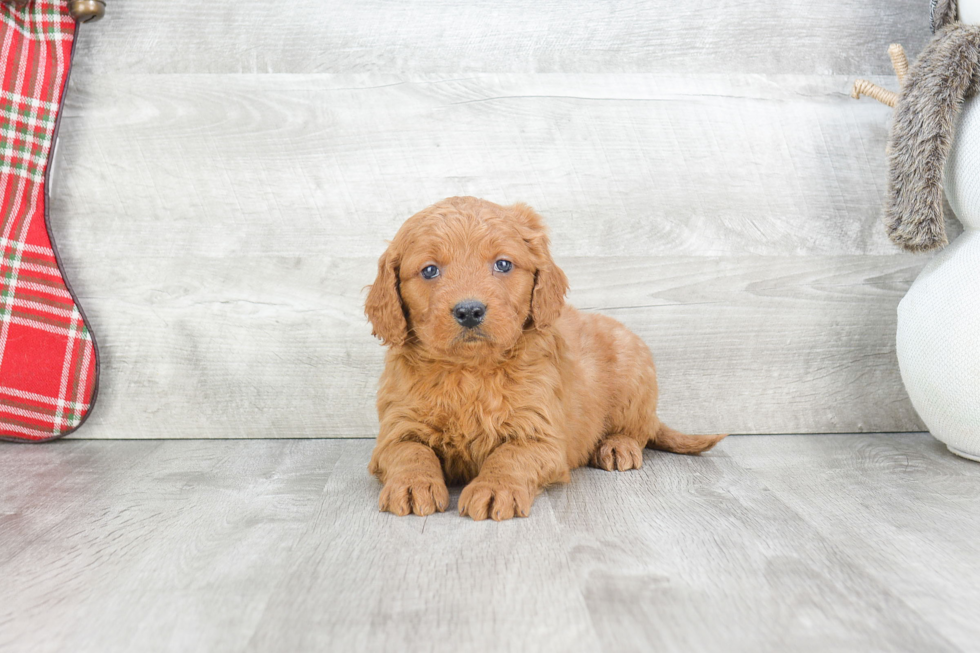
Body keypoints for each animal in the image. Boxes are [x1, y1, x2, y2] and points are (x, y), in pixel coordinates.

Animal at [364, 196, 724, 524]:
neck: (470, 371)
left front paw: (495, 489)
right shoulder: (397, 427)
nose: (469, 311)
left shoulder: (541, 434)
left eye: (503, 264)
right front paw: (412, 484)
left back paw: (617, 446)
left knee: (640, 429)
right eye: (429, 270)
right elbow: (410, 451)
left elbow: (510, 455)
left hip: (634, 371)